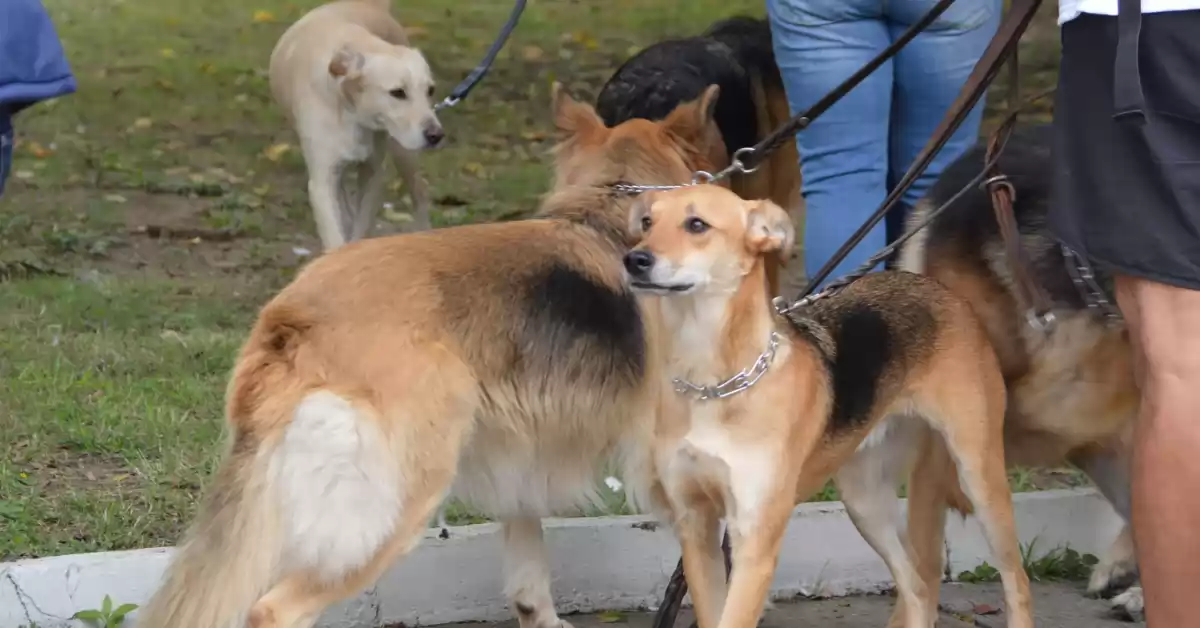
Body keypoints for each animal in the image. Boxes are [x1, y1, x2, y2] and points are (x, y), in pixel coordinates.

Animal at [267, 0, 446, 250]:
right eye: (397, 92)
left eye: (430, 90)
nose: (436, 135)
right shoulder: (323, 182)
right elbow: (336, 236)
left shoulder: (373, 175)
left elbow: (361, 229)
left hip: (403, 153)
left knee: (419, 194)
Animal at [624, 184, 1036, 628]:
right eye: (646, 223)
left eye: (697, 224)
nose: (634, 260)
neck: (714, 384)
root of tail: (938, 289)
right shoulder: (696, 528)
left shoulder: (754, 541)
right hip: (864, 500)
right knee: (918, 587)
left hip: (980, 478)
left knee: (1015, 580)